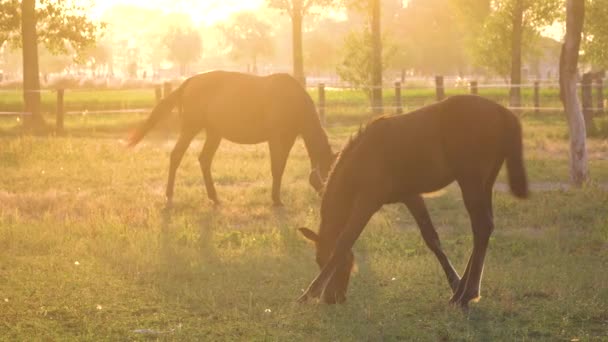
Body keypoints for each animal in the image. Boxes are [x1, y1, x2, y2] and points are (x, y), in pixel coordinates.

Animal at [129, 71, 338, 206]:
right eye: (329, 172)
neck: (292, 100)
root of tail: (188, 82)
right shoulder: (275, 138)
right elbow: (276, 168)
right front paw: (277, 200)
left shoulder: (289, 138)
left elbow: (280, 167)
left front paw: (276, 198)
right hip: (191, 128)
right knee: (176, 155)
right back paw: (169, 195)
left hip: (214, 133)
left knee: (204, 160)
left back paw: (214, 197)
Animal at [298, 95, 528, 308]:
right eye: (317, 259)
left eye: (323, 259)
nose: (332, 298)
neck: (363, 157)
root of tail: (503, 112)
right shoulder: (411, 196)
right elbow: (431, 238)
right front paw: (453, 282)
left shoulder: (368, 200)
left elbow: (345, 240)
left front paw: (308, 294)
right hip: (485, 182)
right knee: (484, 227)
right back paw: (462, 291)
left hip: (470, 180)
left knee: (481, 226)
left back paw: (466, 295)